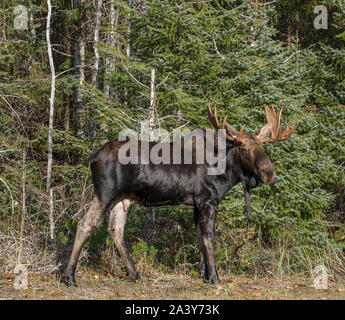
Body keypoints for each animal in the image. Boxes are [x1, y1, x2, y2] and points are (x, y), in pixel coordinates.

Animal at [62, 104, 298, 286]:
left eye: (263, 148)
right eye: (245, 149)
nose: (268, 174)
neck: (226, 170)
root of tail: (92, 157)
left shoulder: (196, 204)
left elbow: (200, 238)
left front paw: (204, 275)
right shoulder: (207, 201)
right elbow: (209, 238)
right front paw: (215, 277)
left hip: (122, 199)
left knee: (115, 229)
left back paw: (134, 273)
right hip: (105, 192)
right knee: (85, 224)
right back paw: (69, 277)